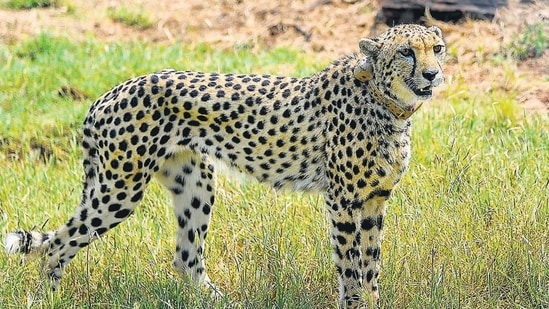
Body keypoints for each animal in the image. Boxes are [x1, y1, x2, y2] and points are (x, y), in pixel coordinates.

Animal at [3, 24, 446, 306]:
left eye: (436, 49)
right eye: (406, 51)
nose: (432, 74)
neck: (388, 103)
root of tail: (109, 92)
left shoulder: (374, 200)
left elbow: (371, 267)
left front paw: (372, 301)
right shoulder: (343, 201)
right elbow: (351, 267)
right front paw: (354, 302)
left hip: (194, 183)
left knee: (186, 257)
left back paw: (220, 302)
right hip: (119, 190)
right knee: (56, 245)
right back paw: (47, 300)